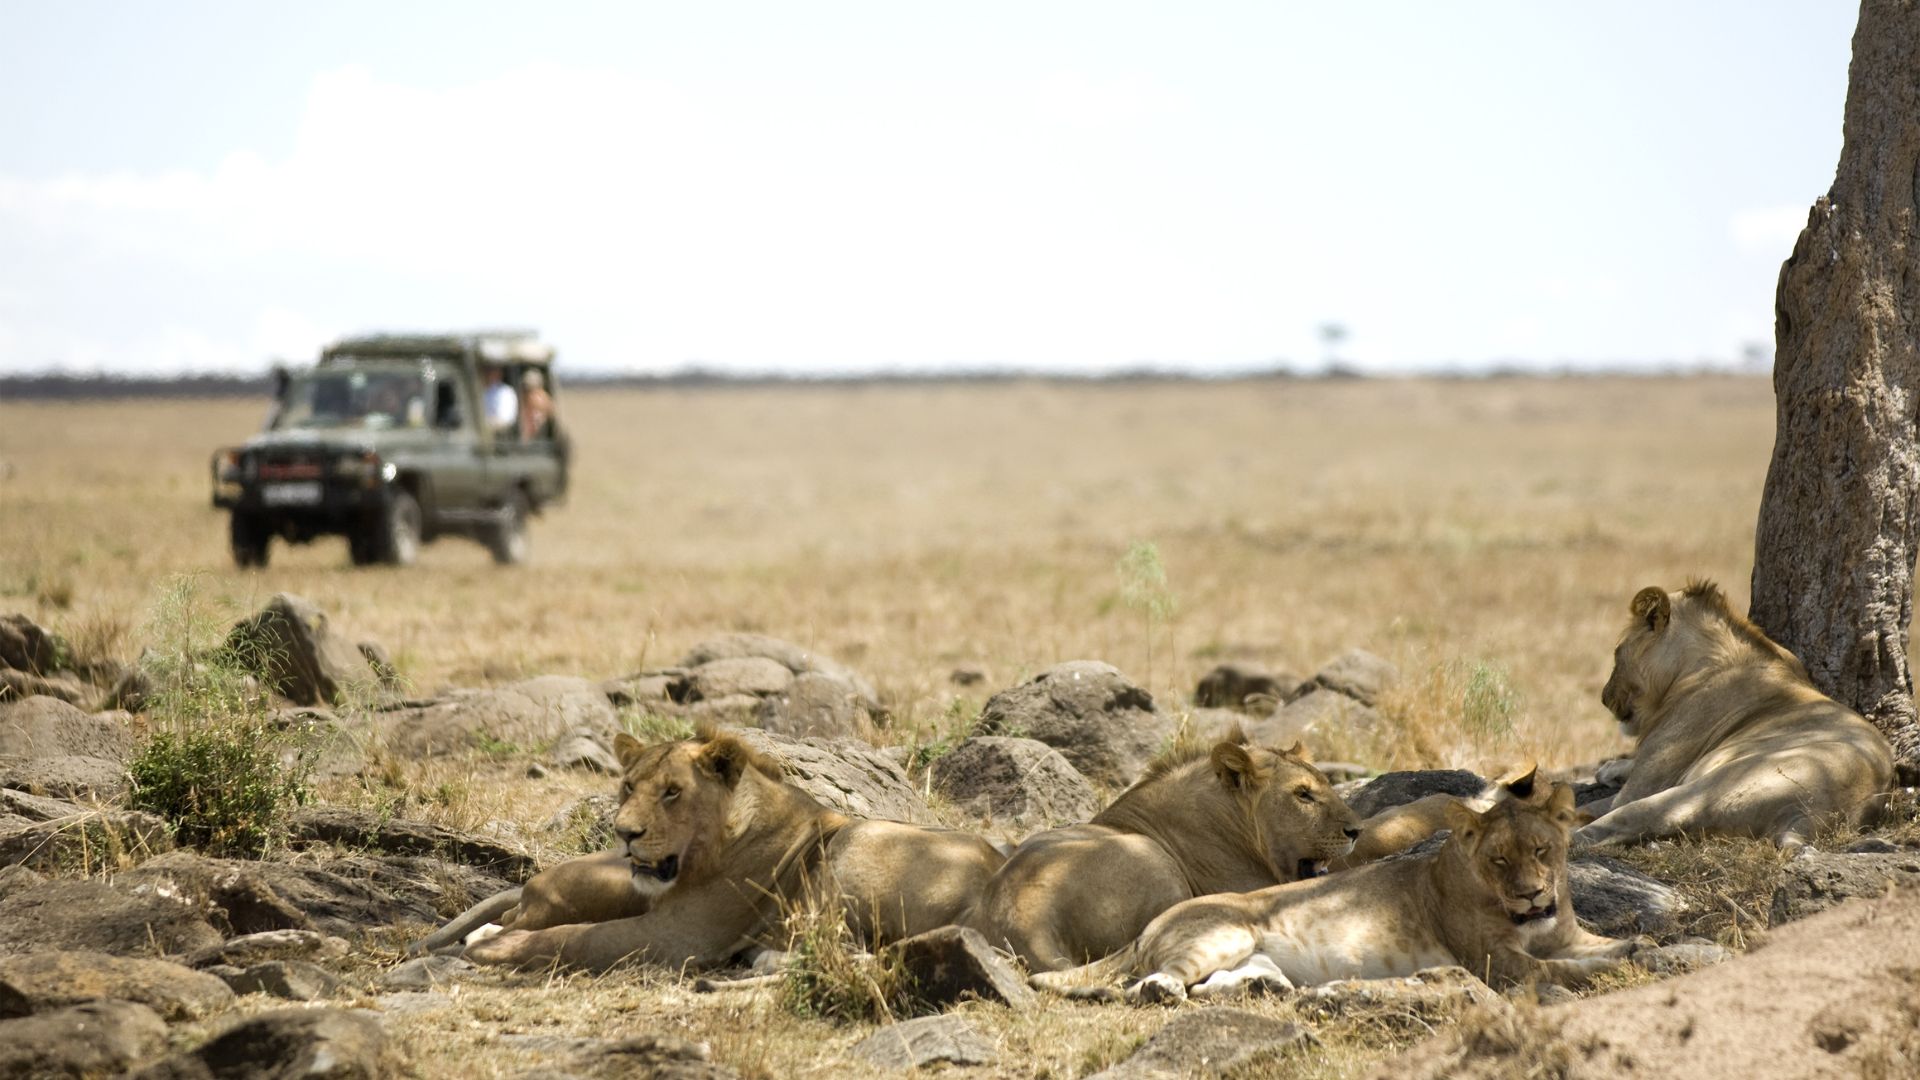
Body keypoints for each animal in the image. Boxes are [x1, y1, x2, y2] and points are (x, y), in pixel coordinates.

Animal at [460, 722, 1006, 968]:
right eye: (628, 787)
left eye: (672, 791)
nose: (624, 833)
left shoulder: (680, 937)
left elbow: (577, 937)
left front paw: (497, 946)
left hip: (857, 844)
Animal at [1036, 772, 1635, 999]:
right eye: (1499, 859)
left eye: (1543, 852)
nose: (1532, 893)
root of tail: (1147, 928)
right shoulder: (1495, 961)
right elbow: (1557, 970)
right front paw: (1610, 967)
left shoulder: (1565, 933)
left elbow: (1606, 945)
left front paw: (1641, 947)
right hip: (1222, 933)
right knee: (1147, 983)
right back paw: (1164, 990)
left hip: (1245, 953)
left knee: (1211, 985)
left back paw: (1265, 989)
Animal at [1574, 580, 1889, 849]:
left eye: (1616, 653)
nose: (1604, 697)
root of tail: (1808, 819)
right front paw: (1609, 768)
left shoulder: (1648, 780)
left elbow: (1603, 802)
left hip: (1707, 787)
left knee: (1626, 819)